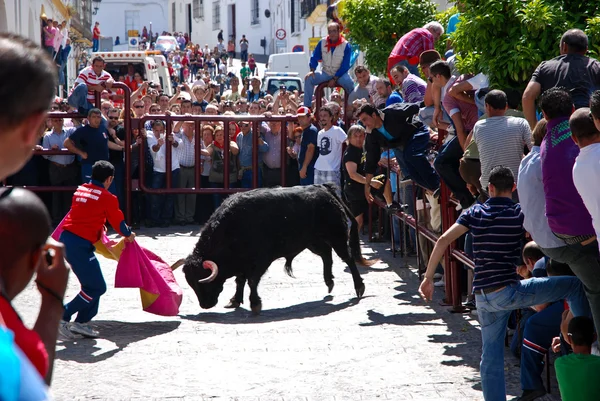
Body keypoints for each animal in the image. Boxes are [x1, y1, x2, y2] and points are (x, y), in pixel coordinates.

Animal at [171, 183, 372, 314]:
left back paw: (359, 287)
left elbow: (252, 281)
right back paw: (329, 282)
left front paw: (255, 304)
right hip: (312, 241)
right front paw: (235, 300)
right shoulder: (242, 263)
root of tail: (325, 189)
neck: (232, 227)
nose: (205, 305)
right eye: (191, 283)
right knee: (326, 254)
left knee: (348, 259)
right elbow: (239, 280)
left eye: (202, 282)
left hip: (337, 237)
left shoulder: (261, 260)